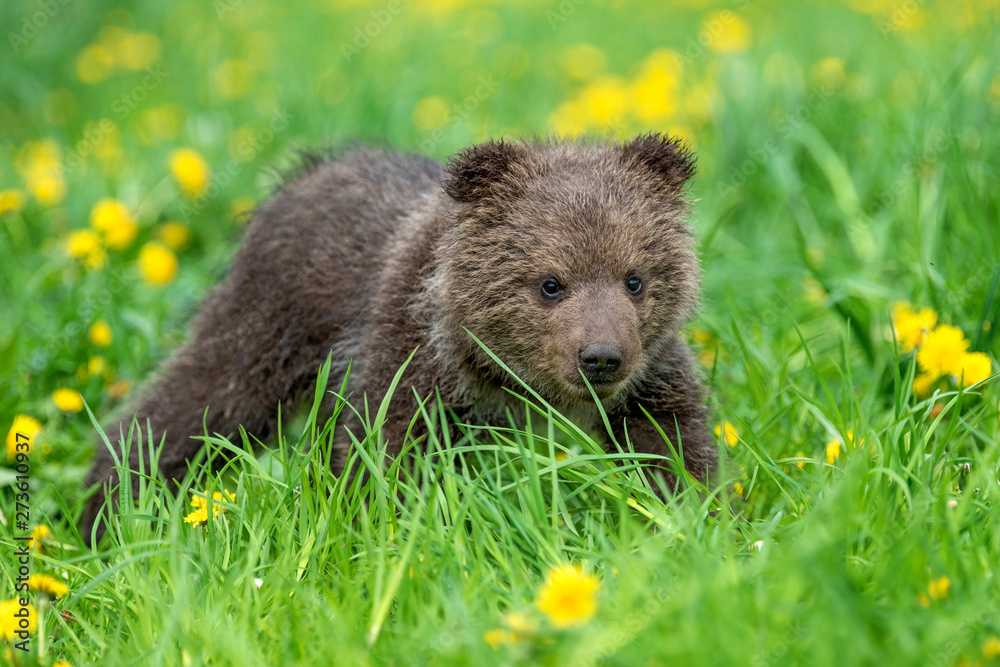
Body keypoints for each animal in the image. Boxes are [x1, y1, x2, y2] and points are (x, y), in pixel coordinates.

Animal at [80, 133, 717, 545]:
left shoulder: (651, 374)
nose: (601, 358)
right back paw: (113, 509)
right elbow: (387, 451)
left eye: (635, 277)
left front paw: (690, 524)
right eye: (550, 283)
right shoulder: (414, 354)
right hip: (269, 322)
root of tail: (303, 174)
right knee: (203, 399)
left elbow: (671, 445)